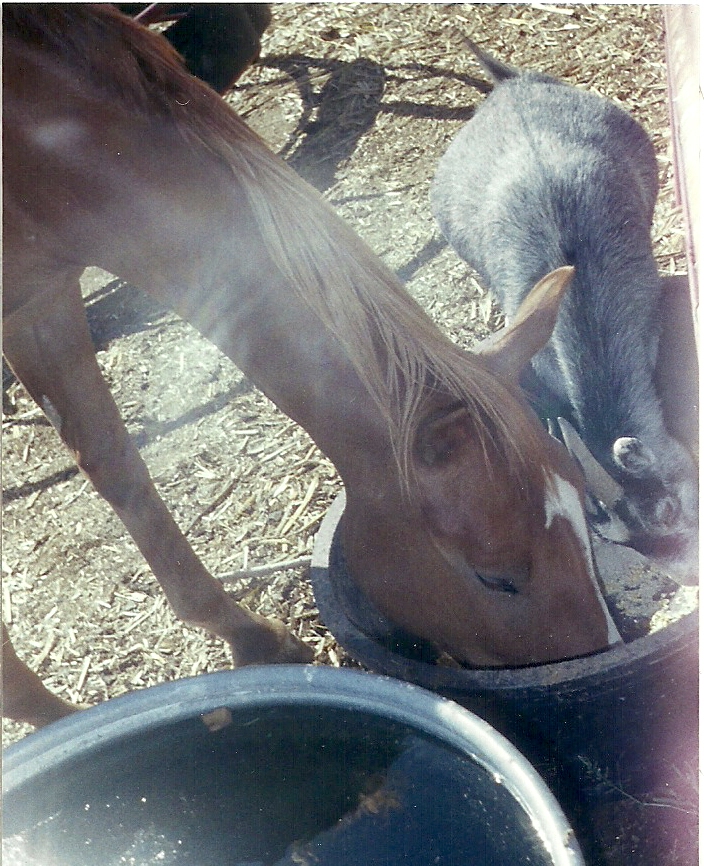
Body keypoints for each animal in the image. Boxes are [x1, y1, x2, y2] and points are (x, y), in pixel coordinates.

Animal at [1, 6, 616, 724]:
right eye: (497, 577)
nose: (590, 670)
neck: (39, 139)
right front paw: (56, 725)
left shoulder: (39, 301)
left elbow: (118, 470)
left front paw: (250, 638)